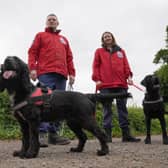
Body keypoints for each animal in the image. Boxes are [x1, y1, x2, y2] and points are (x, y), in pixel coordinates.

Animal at [0, 56, 131, 159]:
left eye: (16, 59)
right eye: (6, 59)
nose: (7, 60)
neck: (22, 91)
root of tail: (86, 95)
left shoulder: (33, 121)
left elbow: (33, 139)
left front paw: (30, 154)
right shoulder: (23, 123)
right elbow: (25, 140)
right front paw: (21, 152)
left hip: (86, 120)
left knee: (101, 133)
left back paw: (104, 151)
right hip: (73, 122)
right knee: (83, 136)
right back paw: (77, 150)